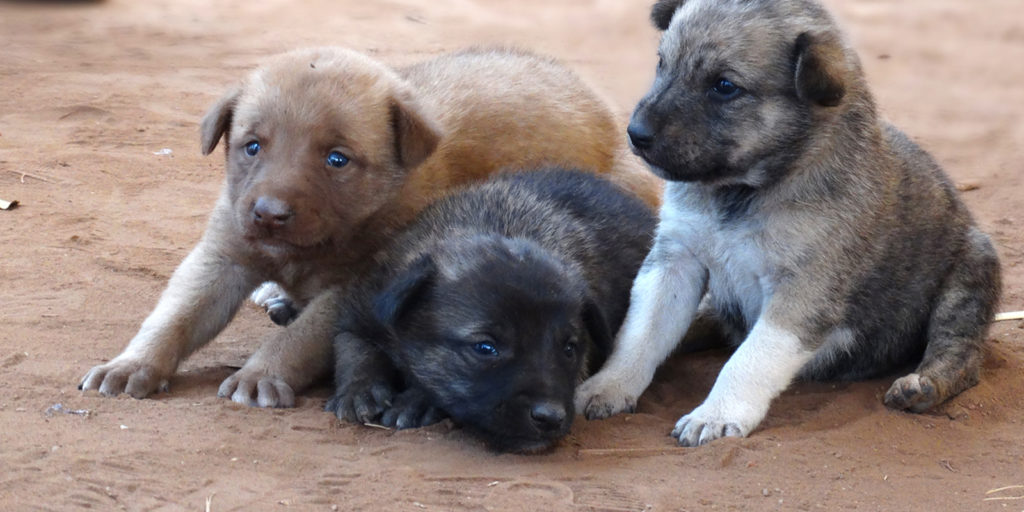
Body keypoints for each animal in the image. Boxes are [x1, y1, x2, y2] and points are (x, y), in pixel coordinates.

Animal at [75, 48, 659, 407]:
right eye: (252, 146)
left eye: (337, 159)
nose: (269, 214)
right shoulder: (223, 253)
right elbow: (175, 315)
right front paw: (130, 364)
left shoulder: (358, 286)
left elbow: (302, 339)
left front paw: (262, 374)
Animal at [325, 168, 655, 452]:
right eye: (485, 347)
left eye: (570, 349)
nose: (550, 418)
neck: (495, 223)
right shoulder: (362, 311)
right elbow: (355, 349)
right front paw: (361, 390)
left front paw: (418, 401)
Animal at [577, 0, 999, 446]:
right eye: (662, 63)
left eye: (724, 86)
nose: (635, 133)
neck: (743, 190)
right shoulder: (674, 261)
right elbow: (641, 333)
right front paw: (610, 384)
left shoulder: (803, 290)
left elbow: (749, 359)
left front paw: (716, 414)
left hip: (970, 273)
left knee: (959, 353)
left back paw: (924, 384)